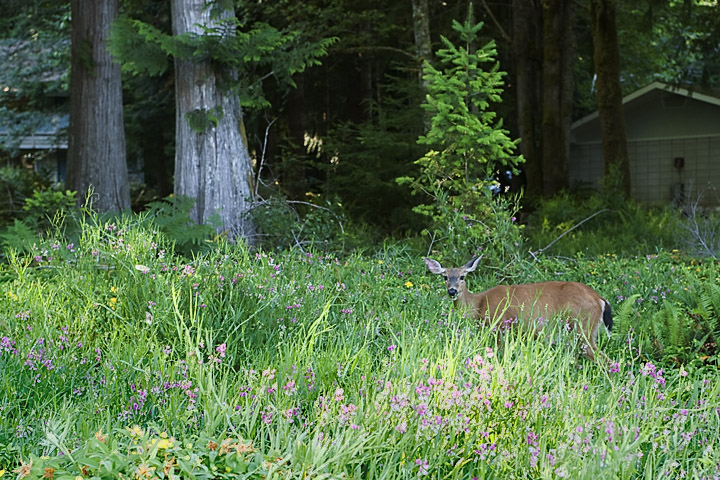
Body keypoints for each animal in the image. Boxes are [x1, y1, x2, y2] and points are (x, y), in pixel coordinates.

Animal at [424, 257, 613, 363]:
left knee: (606, 361)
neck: (479, 304)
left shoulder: (499, 327)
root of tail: (600, 299)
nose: (452, 291)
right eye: (445, 277)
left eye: (462, 276)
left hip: (582, 327)